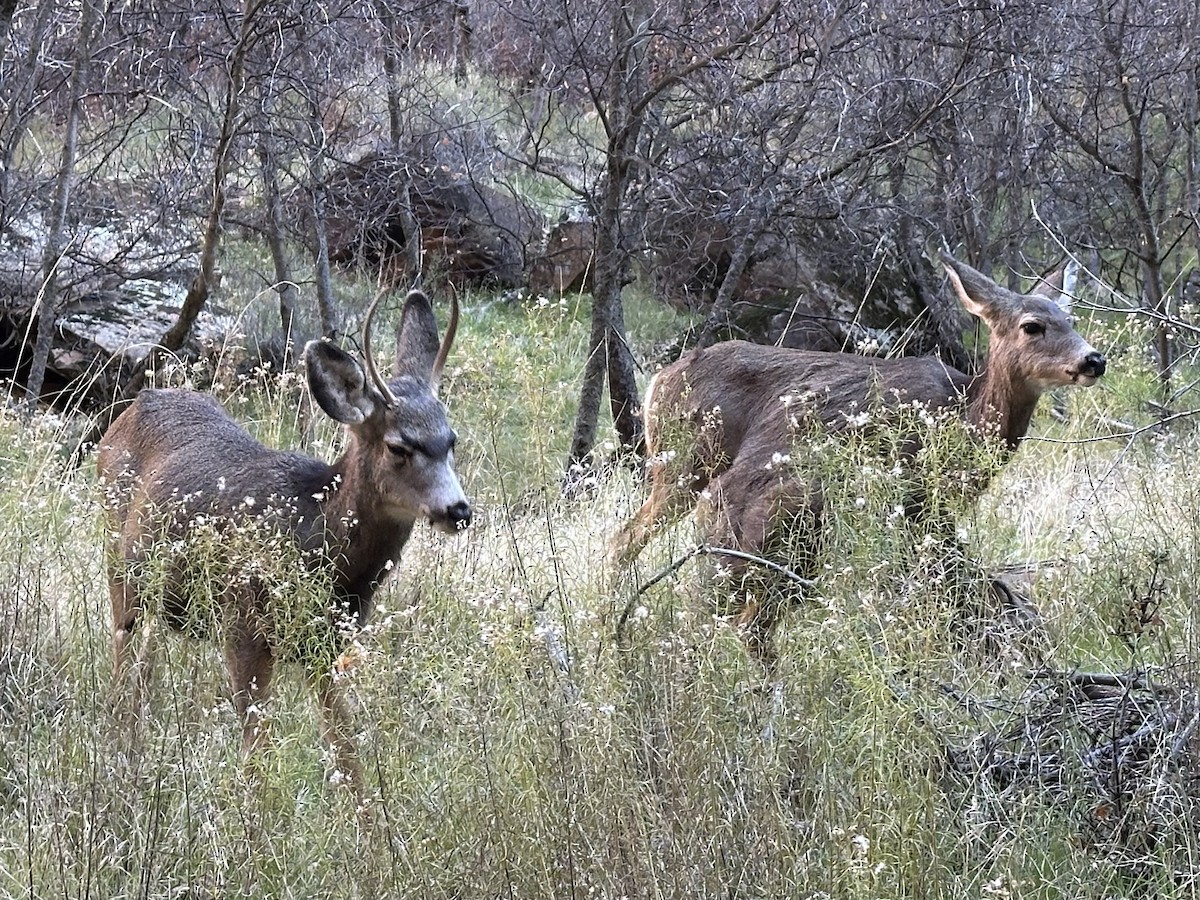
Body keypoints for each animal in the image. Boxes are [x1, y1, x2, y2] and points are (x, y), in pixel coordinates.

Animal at [97, 287, 471, 788]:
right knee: (122, 661)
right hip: (119, 565)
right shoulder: (242, 628)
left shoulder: (325, 647)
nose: (458, 510)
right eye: (398, 446)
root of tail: (133, 406)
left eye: (451, 440)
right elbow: (255, 757)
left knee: (144, 667)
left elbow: (347, 754)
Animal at [611, 251, 1106, 662]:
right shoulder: (912, 493)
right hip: (687, 468)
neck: (961, 414)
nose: (1093, 360)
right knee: (629, 543)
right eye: (1032, 325)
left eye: (1070, 317)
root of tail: (658, 382)